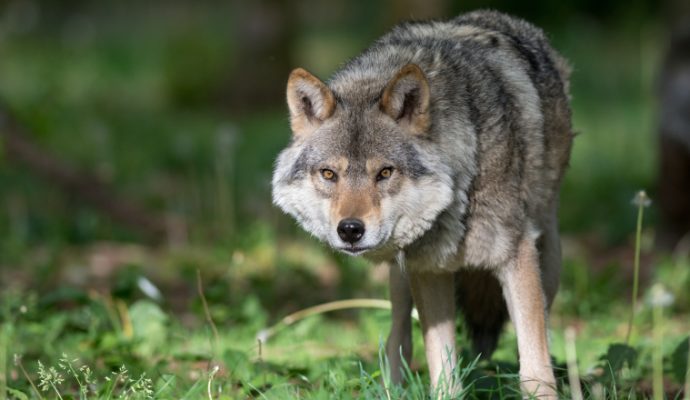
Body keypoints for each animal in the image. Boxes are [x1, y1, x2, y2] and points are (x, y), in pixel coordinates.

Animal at [272, 10, 572, 400]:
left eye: (385, 172)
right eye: (328, 174)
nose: (350, 230)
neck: (460, 192)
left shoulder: (516, 258)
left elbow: (535, 370)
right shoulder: (428, 271)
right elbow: (443, 371)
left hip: (548, 261)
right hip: (400, 277)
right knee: (397, 339)